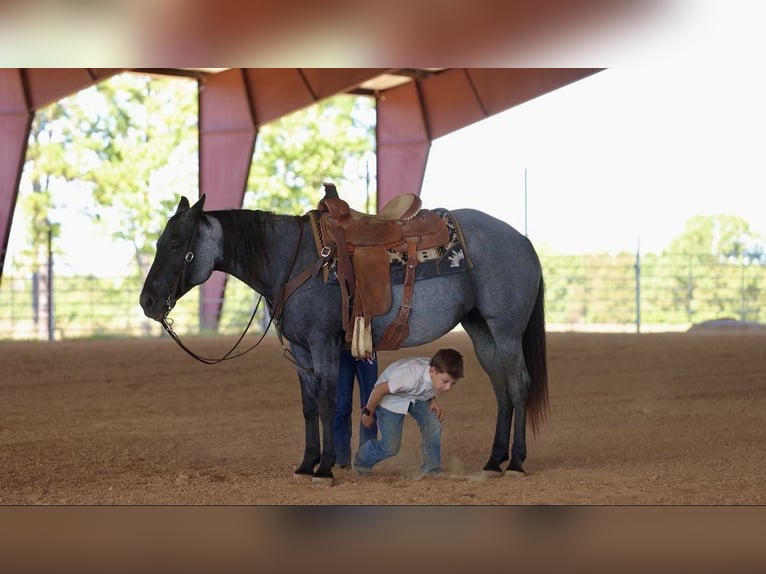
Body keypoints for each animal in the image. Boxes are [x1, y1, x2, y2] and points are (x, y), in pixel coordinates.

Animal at [139, 194, 548, 484]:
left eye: (177, 243)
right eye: (160, 241)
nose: (147, 302)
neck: (293, 259)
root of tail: (523, 240)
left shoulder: (322, 345)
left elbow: (325, 401)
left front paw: (325, 468)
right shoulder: (302, 352)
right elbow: (308, 406)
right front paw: (306, 464)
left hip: (506, 329)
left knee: (518, 384)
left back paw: (516, 462)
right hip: (481, 329)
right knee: (501, 388)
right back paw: (494, 461)